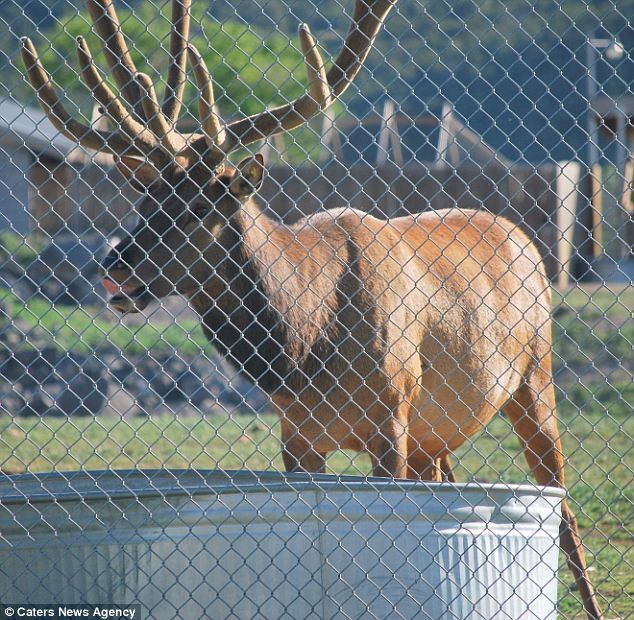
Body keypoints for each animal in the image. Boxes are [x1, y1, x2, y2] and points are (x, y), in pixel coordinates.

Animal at [19, 2, 600, 616]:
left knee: (564, 510)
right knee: (454, 478)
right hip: (438, 431)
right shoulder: (296, 433)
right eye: (145, 198)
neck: (304, 343)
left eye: (199, 205)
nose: (114, 264)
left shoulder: (393, 411)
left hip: (534, 376)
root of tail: (523, 238)